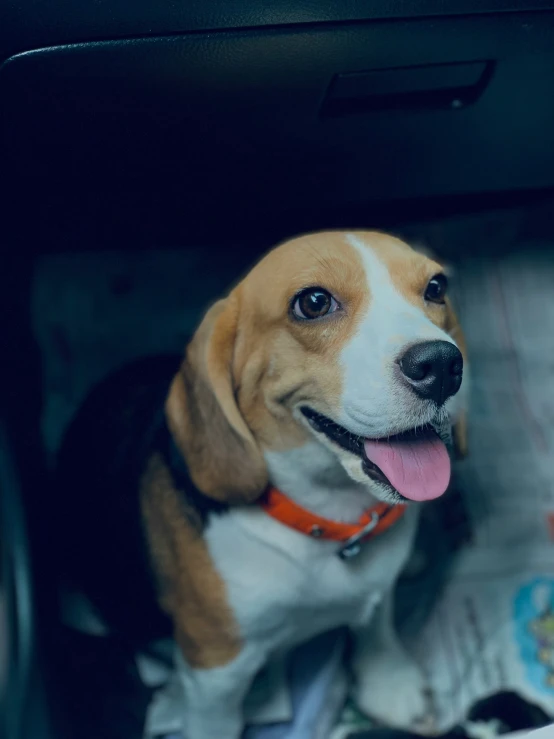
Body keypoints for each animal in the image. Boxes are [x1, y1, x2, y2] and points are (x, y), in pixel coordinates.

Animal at [56, 228, 464, 736]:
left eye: (435, 288)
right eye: (313, 302)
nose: (443, 365)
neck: (326, 520)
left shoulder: (376, 588)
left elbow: (377, 625)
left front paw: (390, 682)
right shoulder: (216, 674)